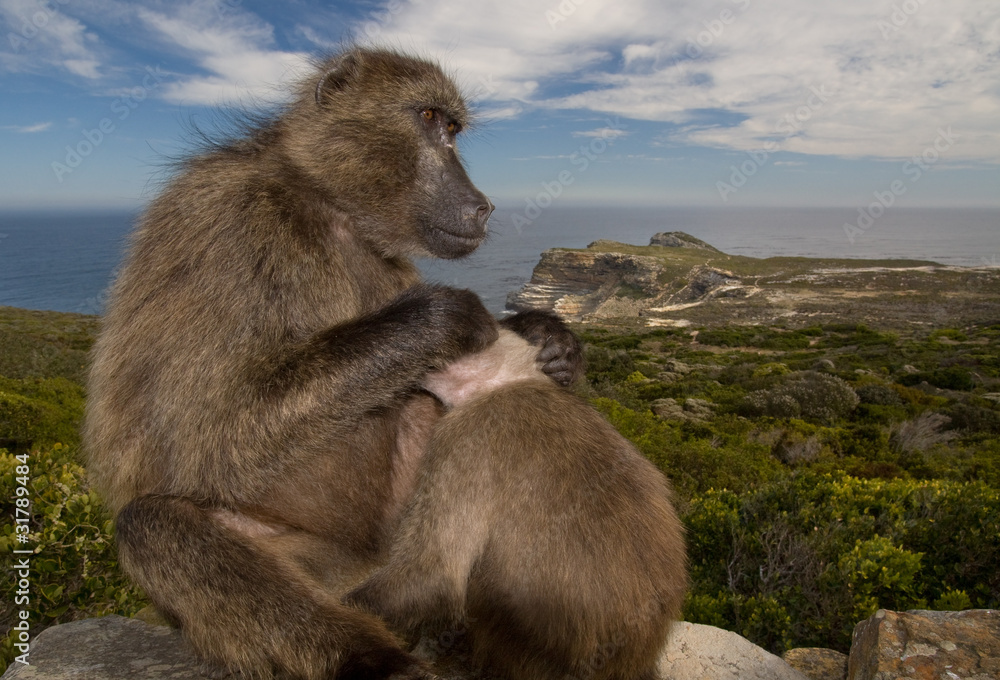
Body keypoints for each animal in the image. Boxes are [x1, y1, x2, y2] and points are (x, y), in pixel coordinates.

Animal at [83, 47, 583, 680]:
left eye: (453, 128)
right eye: (428, 118)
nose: (483, 205)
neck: (325, 202)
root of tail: (362, 559)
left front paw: (549, 338)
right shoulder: (228, 225)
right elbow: (207, 435)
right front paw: (447, 318)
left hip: (395, 533)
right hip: (316, 562)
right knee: (154, 526)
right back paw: (376, 659)